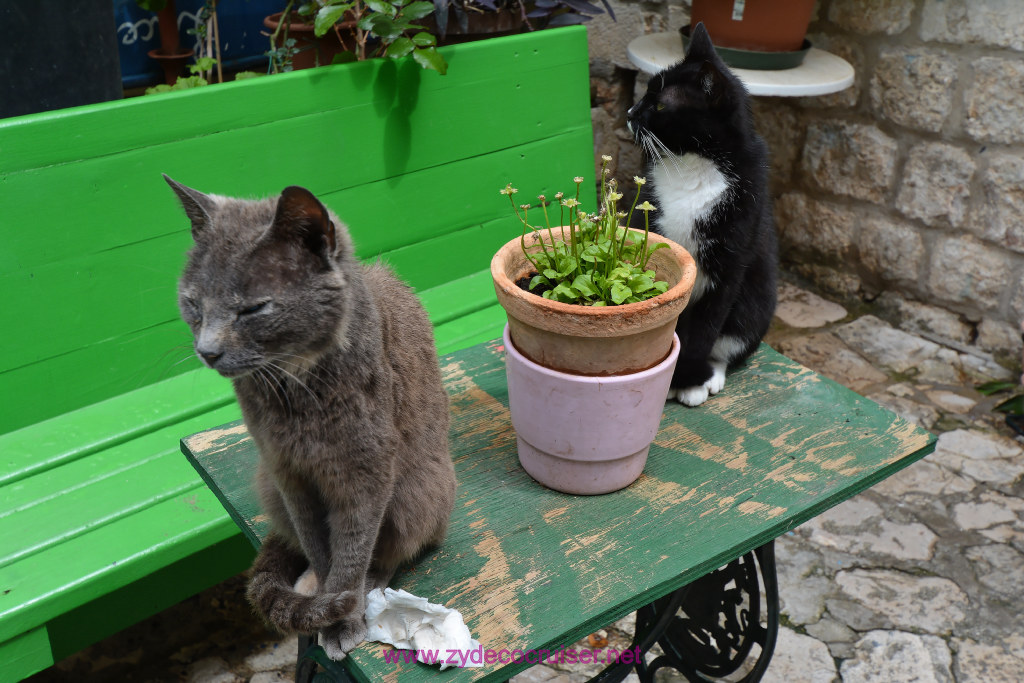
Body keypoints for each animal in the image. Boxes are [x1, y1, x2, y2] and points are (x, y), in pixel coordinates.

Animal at [167, 178, 456, 663]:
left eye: (253, 309)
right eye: (192, 303)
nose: (207, 350)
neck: (294, 392)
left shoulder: (366, 474)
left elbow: (352, 551)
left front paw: (343, 616)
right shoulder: (287, 472)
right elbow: (319, 548)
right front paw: (324, 603)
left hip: (419, 489)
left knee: (396, 547)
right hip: (267, 483)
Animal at [622, 22, 774, 405]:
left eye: (660, 104)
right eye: (645, 93)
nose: (630, 113)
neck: (691, 165)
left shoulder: (731, 261)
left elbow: (706, 327)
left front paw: (687, 379)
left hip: (756, 305)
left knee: (729, 342)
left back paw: (710, 376)